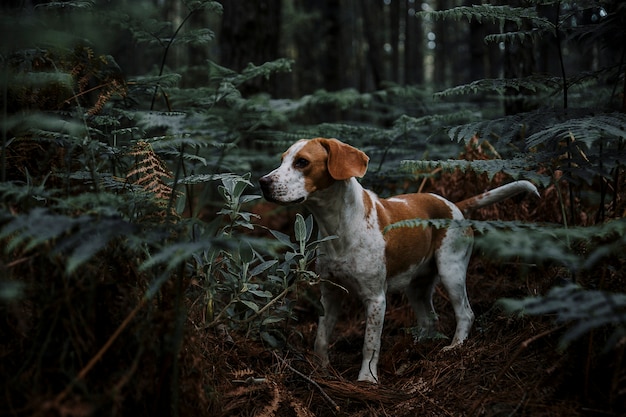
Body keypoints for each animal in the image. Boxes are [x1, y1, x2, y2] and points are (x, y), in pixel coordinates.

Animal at [258, 138, 536, 382]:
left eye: (302, 162)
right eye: (282, 160)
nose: (262, 182)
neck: (339, 227)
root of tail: (454, 205)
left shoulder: (376, 299)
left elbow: (370, 345)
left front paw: (367, 379)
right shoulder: (330, 293)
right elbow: (321, 337)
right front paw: (321, 369)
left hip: (451, 271)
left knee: (466, 313)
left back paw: (454, 348)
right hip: (417, 286)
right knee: (429, 319)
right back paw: (412, 348)